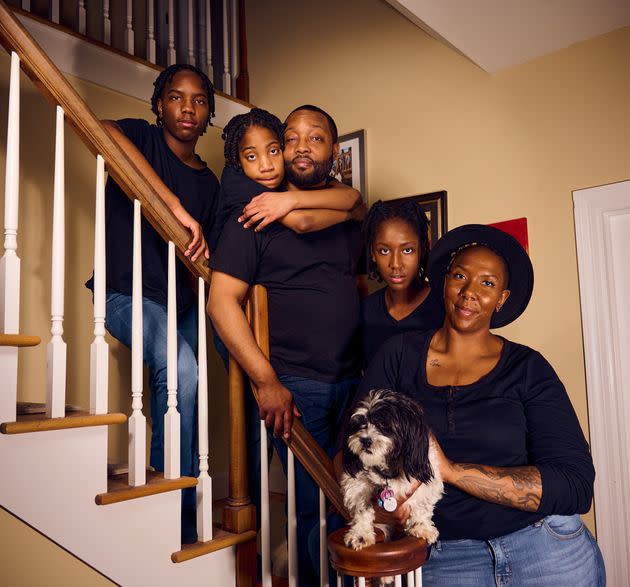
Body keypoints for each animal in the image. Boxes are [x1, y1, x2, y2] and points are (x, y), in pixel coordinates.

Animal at [340, 390, 444, 552]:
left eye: (383, 424)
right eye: (358, 424)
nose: (365, 440)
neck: (388, 467)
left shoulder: (427, 482)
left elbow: (421, 505)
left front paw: (420, 526)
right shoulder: (355, 484)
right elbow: (362, 509)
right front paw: (360, 534)